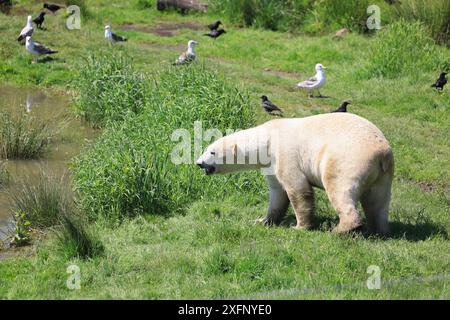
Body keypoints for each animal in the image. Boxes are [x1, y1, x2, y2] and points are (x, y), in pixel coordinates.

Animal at [197, 114, 394, 234]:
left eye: (212, 152)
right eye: (206, 149)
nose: (199, 163)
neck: (267, 138)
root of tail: (382, 152)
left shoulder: (285, 153)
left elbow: (297, 189)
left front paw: (299, 226)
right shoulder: (271, 163)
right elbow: (277, 193)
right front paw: (263, 220)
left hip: (348, 159)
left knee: (339, 188)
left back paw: (341, 229)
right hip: (383, 174)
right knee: (377, 201)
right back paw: (378, 230)